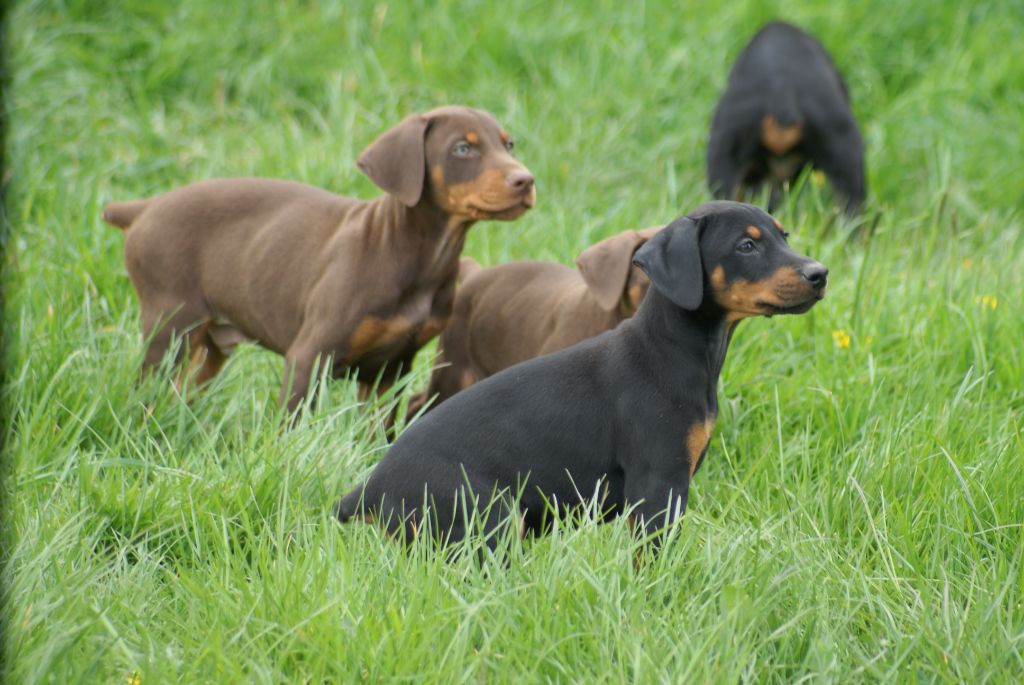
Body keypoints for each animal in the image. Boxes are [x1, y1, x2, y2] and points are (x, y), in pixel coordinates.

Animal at [102, 104, 536, 409]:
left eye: (508, 144)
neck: (418, 256)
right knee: (146, 393)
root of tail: (145, 208)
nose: (526, 180)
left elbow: (377, 434)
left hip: (209, 342)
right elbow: (289, 427)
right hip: (170, 325)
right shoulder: (308, 356)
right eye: (463, 149)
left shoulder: (392, 367)